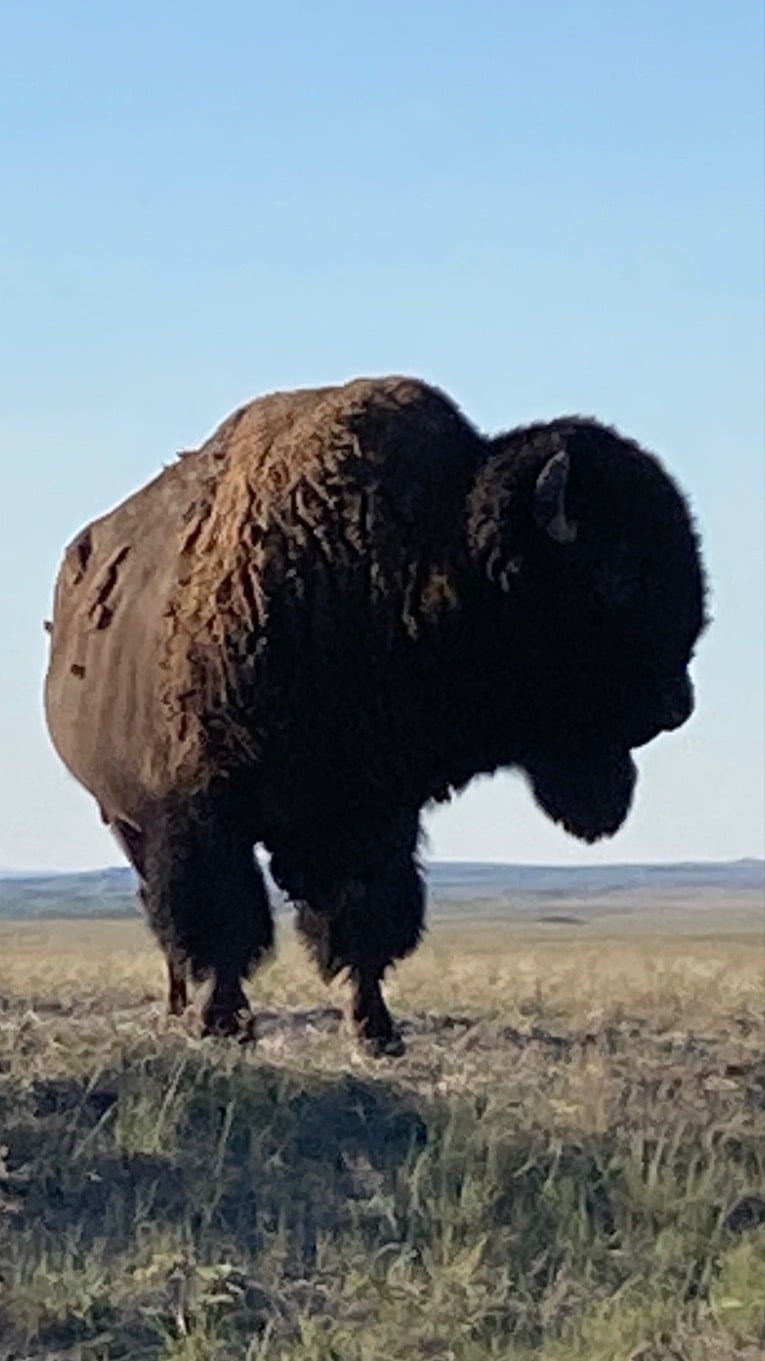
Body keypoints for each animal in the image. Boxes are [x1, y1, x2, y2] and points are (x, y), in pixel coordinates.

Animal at [45, 378, 706, 1051]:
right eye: (616, 576)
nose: (677, 705)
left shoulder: (372, 812)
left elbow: (364, 920)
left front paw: (376, 1030)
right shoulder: (204, 809)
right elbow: (225, 921)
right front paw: (223, 1022)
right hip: (124, 817)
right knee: (165, 913)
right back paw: (184, 1006)